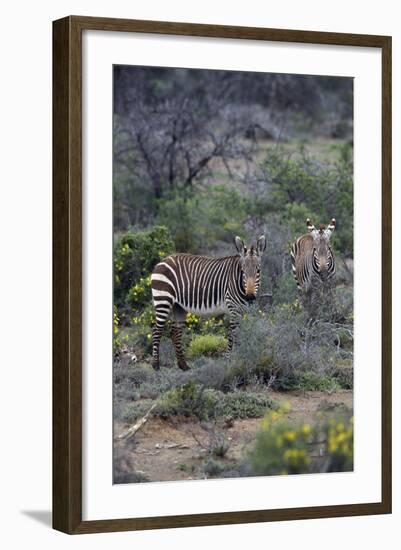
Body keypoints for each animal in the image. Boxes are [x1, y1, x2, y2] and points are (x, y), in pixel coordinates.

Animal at [150, 236, 266, 370]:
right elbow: (233, 335)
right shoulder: (233, 308)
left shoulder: (242, 311)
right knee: (156, 331)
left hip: (178, 306)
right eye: (243, 271)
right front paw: (232, 360)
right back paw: (156, 365)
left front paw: (239, 357)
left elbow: (241, 333)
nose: (250, 297)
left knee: (175, 332)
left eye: (258, 271)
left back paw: (183, 365)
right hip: (163, 299)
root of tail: (163, 261)